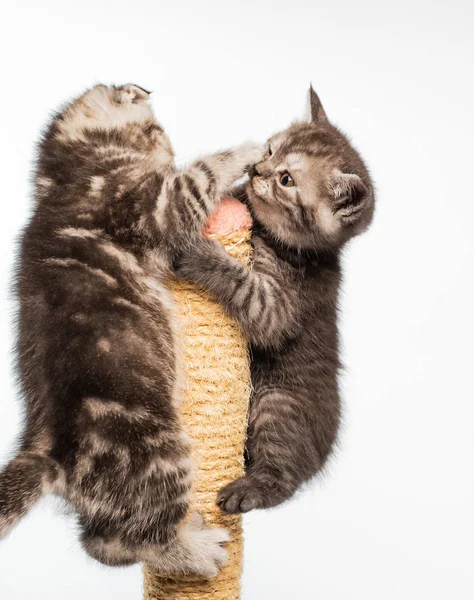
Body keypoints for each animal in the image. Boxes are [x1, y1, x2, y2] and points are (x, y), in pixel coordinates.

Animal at [0, 82, 262, 576]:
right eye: (157, 130)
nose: (169, 150)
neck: (62, 179)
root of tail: (46, 447)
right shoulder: (154, 208)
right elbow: (197, 178)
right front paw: (244, 153)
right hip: (160, 452)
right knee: (140, 536)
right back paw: (195, 552)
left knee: (100, 542)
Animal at [176, 86, 376, 512]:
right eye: (270, 150)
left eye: (286, 179)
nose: (257, 171)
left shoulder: (280, 306)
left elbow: (241, 284)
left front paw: (195, 250)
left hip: (277, 402)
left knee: (282, 478)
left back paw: (247, 490)